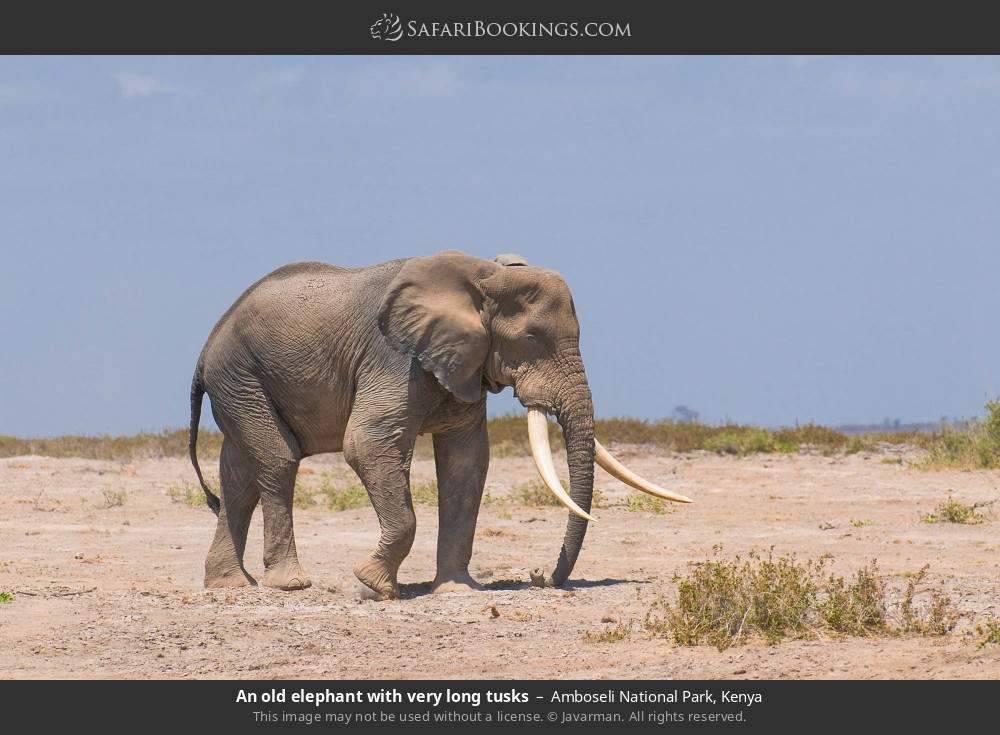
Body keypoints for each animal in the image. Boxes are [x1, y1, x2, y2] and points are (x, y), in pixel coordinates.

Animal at [188, 250, 690, 599]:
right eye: (532, 338)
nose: (542, 577)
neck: (482, 275)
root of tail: (205, 348)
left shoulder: (464, 364)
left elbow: (467, 462)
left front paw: (456, 591)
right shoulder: (395, 358)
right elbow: (367, 443)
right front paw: (373, 586)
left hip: (241, 384)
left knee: (238, 476)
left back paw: (231, 586)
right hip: (240, 374)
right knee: (278, 460)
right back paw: (289, 585)